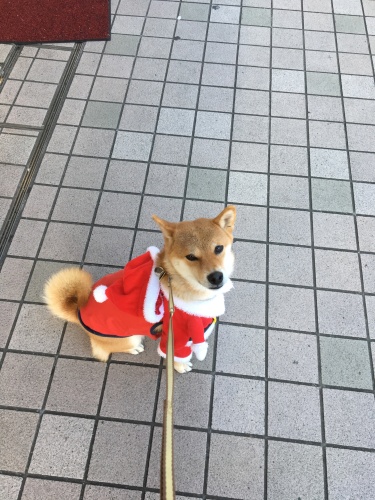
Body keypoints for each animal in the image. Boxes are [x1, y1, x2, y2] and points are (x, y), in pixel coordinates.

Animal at [44, 205, 236, 374]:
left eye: (218, 248)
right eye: (191, 257)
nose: (216, 277)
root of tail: (78, 312)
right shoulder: (175, 339)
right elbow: (176, 358)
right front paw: (181, 367)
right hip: (128, 337)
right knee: (104, 350)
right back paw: (134, 349)